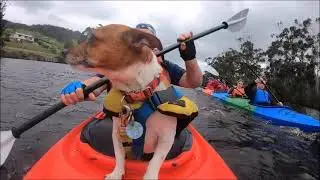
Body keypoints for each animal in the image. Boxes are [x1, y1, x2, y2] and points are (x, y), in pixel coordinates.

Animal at [67, 24, 198, 180]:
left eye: (91, 38)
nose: (64, 51)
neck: (137, 93)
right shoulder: (118, 133)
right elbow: (119, 155)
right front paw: (117, 174)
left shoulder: (166, 138)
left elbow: (155, 162)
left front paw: (149, 177)